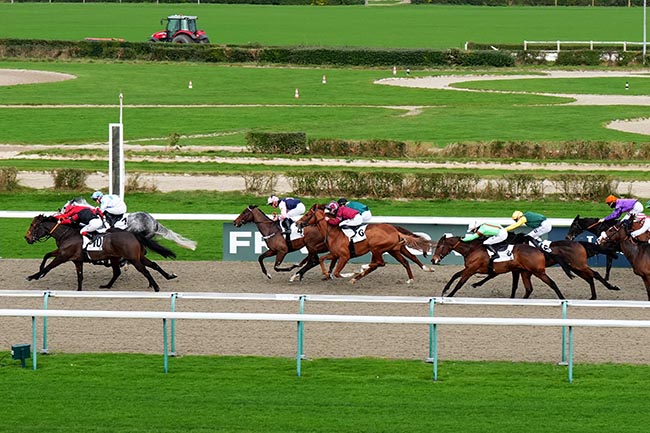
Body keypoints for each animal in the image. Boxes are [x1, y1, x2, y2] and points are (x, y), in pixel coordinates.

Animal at [24, 215, 177, 292]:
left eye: (33, 226)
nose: (27, 238)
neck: (67, 234)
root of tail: (133, 234)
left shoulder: (63, 256)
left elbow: (49, 266)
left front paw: (33, 276)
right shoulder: (74, 259)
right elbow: (48, 256)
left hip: (133, 259)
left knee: (145, 270)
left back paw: (156, 286)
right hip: (132, 257)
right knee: (150, 265)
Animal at [296, 205, 432, 286]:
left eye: (307, 214)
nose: (297, 223)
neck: (333, 232)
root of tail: (394, 230)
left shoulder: (344, 256)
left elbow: (337, 272)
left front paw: (350, 274)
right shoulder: (334, 254)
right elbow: (322, 259)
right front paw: (325, 273)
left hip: (376, 248)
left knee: (380, 263)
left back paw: (361, 269)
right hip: (393, 250)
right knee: (405, 260)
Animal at [430, 235, 568, 298]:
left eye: (439, 246)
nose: (433, 260)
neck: (471, 249)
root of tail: (539, 250)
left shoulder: (471, 269)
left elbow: (460, 283)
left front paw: (449, 295)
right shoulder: (469, 268)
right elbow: (455, 275)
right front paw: (445, 290)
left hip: (538, 271)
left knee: (552, 283)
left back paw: (562, 298)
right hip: (525, 272)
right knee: (529, 289)